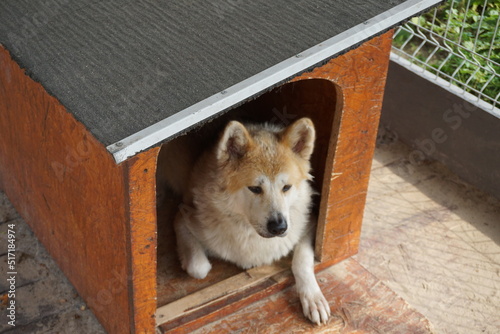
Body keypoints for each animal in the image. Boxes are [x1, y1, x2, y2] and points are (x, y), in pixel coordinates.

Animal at [161, 117, 332, 324]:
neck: (250, 233)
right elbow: (199, 267)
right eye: (255, 189)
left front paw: (313, 298)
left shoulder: (310, 222)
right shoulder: (184, 217)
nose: (279, 227)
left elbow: (302, 261)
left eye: (286, 187)